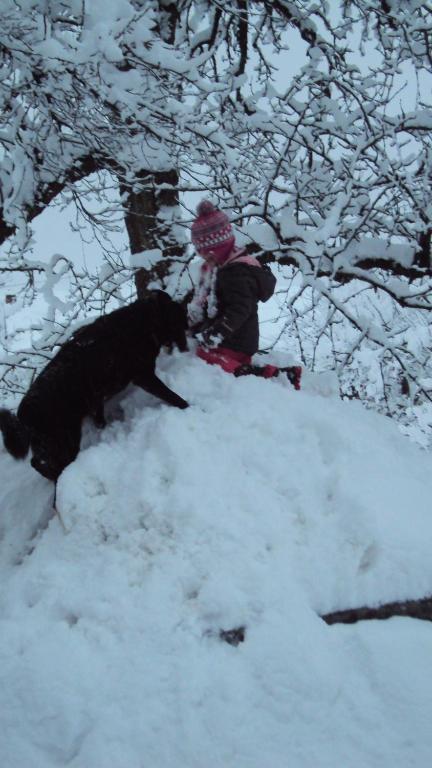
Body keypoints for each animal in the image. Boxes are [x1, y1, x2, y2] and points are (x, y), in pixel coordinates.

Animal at [0, 292, 189, 480]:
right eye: (177, 314)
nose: (186, 313)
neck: (143, 322)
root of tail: (23, 415)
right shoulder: (144, 376)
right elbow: (171, 395)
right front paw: (188, 407)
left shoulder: (97, 399)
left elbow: (99, 418)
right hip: (64, 441)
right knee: (45, 463)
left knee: (37, 462)